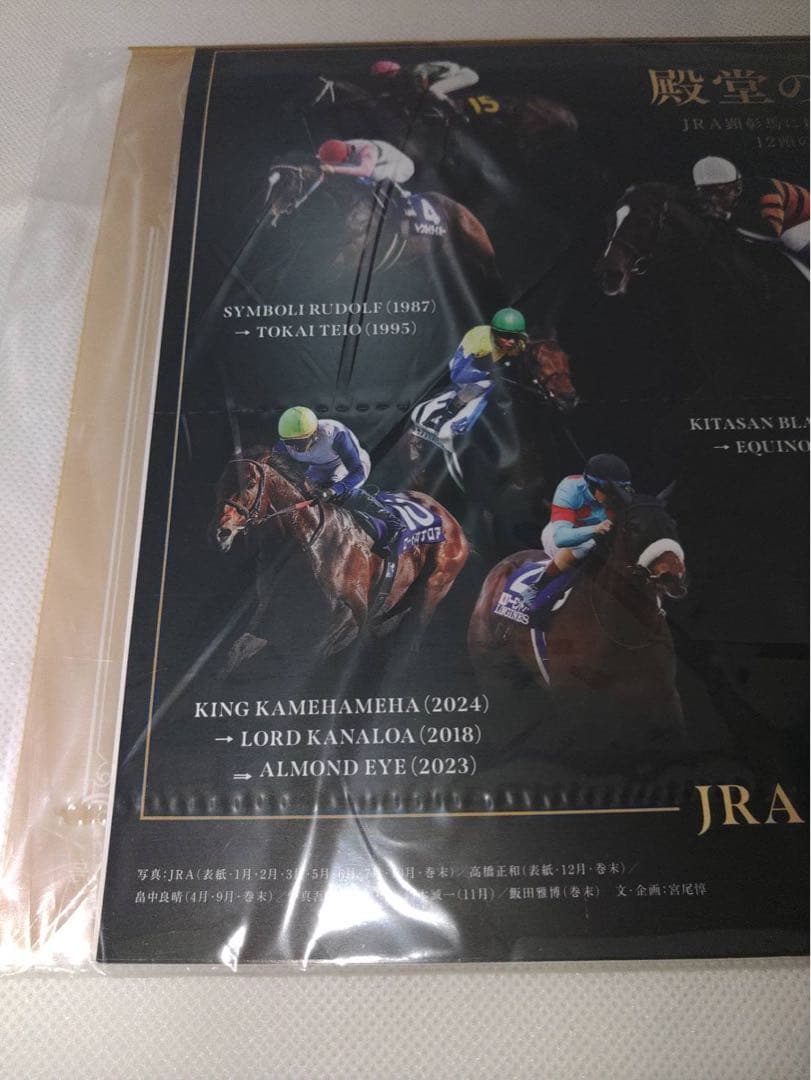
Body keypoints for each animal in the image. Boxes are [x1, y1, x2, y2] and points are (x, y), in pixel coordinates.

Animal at [209, 449, 469, 676]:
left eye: (250, 483)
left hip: (433, 589)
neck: (313, 542)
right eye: (220, 484)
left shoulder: (345, 614)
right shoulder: (266, 619)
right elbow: (235, 654)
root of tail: (451, 520)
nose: (223, 532)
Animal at [468, 487, 688, 760]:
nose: (672, 575)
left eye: (672, 524)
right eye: (634, 526)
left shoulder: (665, 698)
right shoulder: (578, 710)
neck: (625, 632)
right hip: (491, 672)